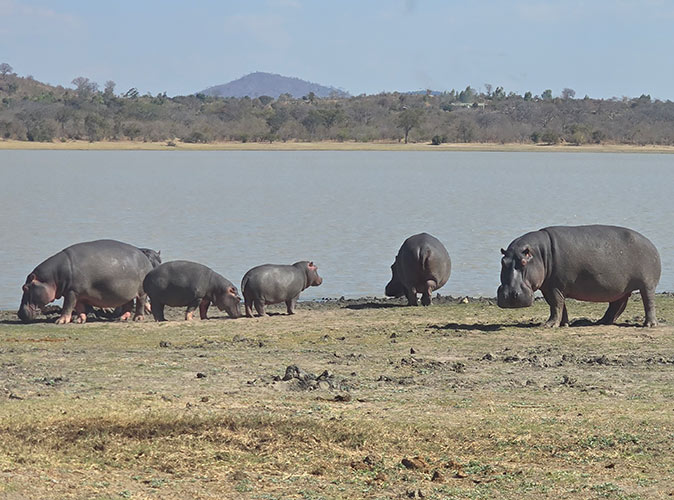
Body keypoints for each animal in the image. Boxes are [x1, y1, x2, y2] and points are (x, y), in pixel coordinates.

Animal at [18, 239, 156, 324]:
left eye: (25, 287)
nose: (19, 313)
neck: (52, 277)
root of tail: (144, 257)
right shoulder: (77, 293)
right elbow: (79, 307)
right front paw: (79, 320)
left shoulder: (71, 292)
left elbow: (67, 306)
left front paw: (60, 321)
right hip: (126, 292)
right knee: (128, 304)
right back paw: (122, 318)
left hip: (141, 291)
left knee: (140, 303)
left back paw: (138, 318)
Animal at [497, 225, 661, 327]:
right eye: (502, 261)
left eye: (524, 262)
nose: (509, 295)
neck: (539, 254)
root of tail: (651, 243)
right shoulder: (549, 286)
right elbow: (558, 304)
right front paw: (564, 324)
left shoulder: (555, 285)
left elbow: (556, 304)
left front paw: (548, 325)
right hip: (620, 288)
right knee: (617, 304)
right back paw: (601, 322)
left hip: (647, 284)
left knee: (649, 301)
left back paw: (649, 324)